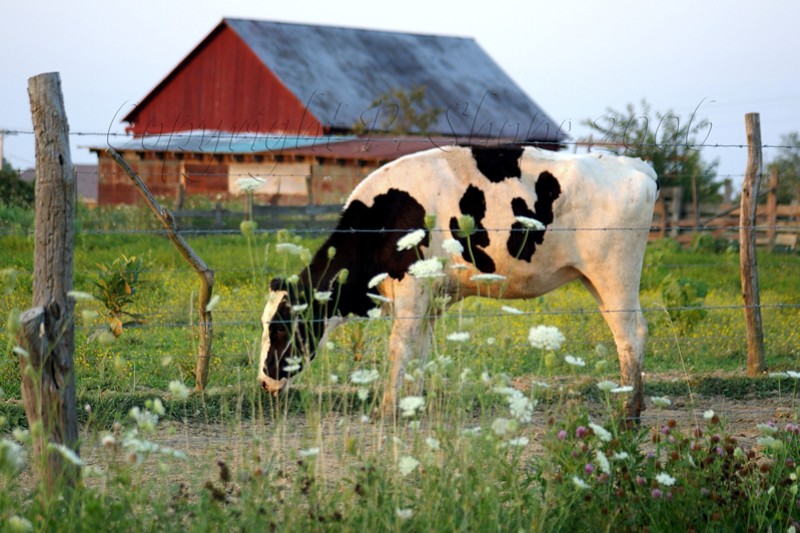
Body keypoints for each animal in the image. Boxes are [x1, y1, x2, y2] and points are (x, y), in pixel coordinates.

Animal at [260, 143, 660, 422]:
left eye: (279, 329)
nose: (264, 381)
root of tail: (635, 165)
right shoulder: (431, 298)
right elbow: (420, 349)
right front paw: (413, 404)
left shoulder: (412, 289)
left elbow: (399, 347)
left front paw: (387, 410)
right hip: (594, 279)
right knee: (623, 332)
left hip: (615, 273)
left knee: (632, 332)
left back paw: (629, 410)